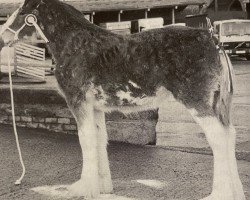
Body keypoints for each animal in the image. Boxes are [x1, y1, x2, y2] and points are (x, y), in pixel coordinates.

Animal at [0, 0, 246, 199]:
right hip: (218, 105)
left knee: (218, 139)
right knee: (230, 135)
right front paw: (102, 187)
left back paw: (219, 194)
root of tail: (212, 39)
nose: (3, 36)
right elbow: (100, 140)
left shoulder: (78, 102)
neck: (75, 44)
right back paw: (237, 192)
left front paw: (83, 189)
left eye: (23, 11)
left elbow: (85, 140)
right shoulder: (95, 107)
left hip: (198, 103)